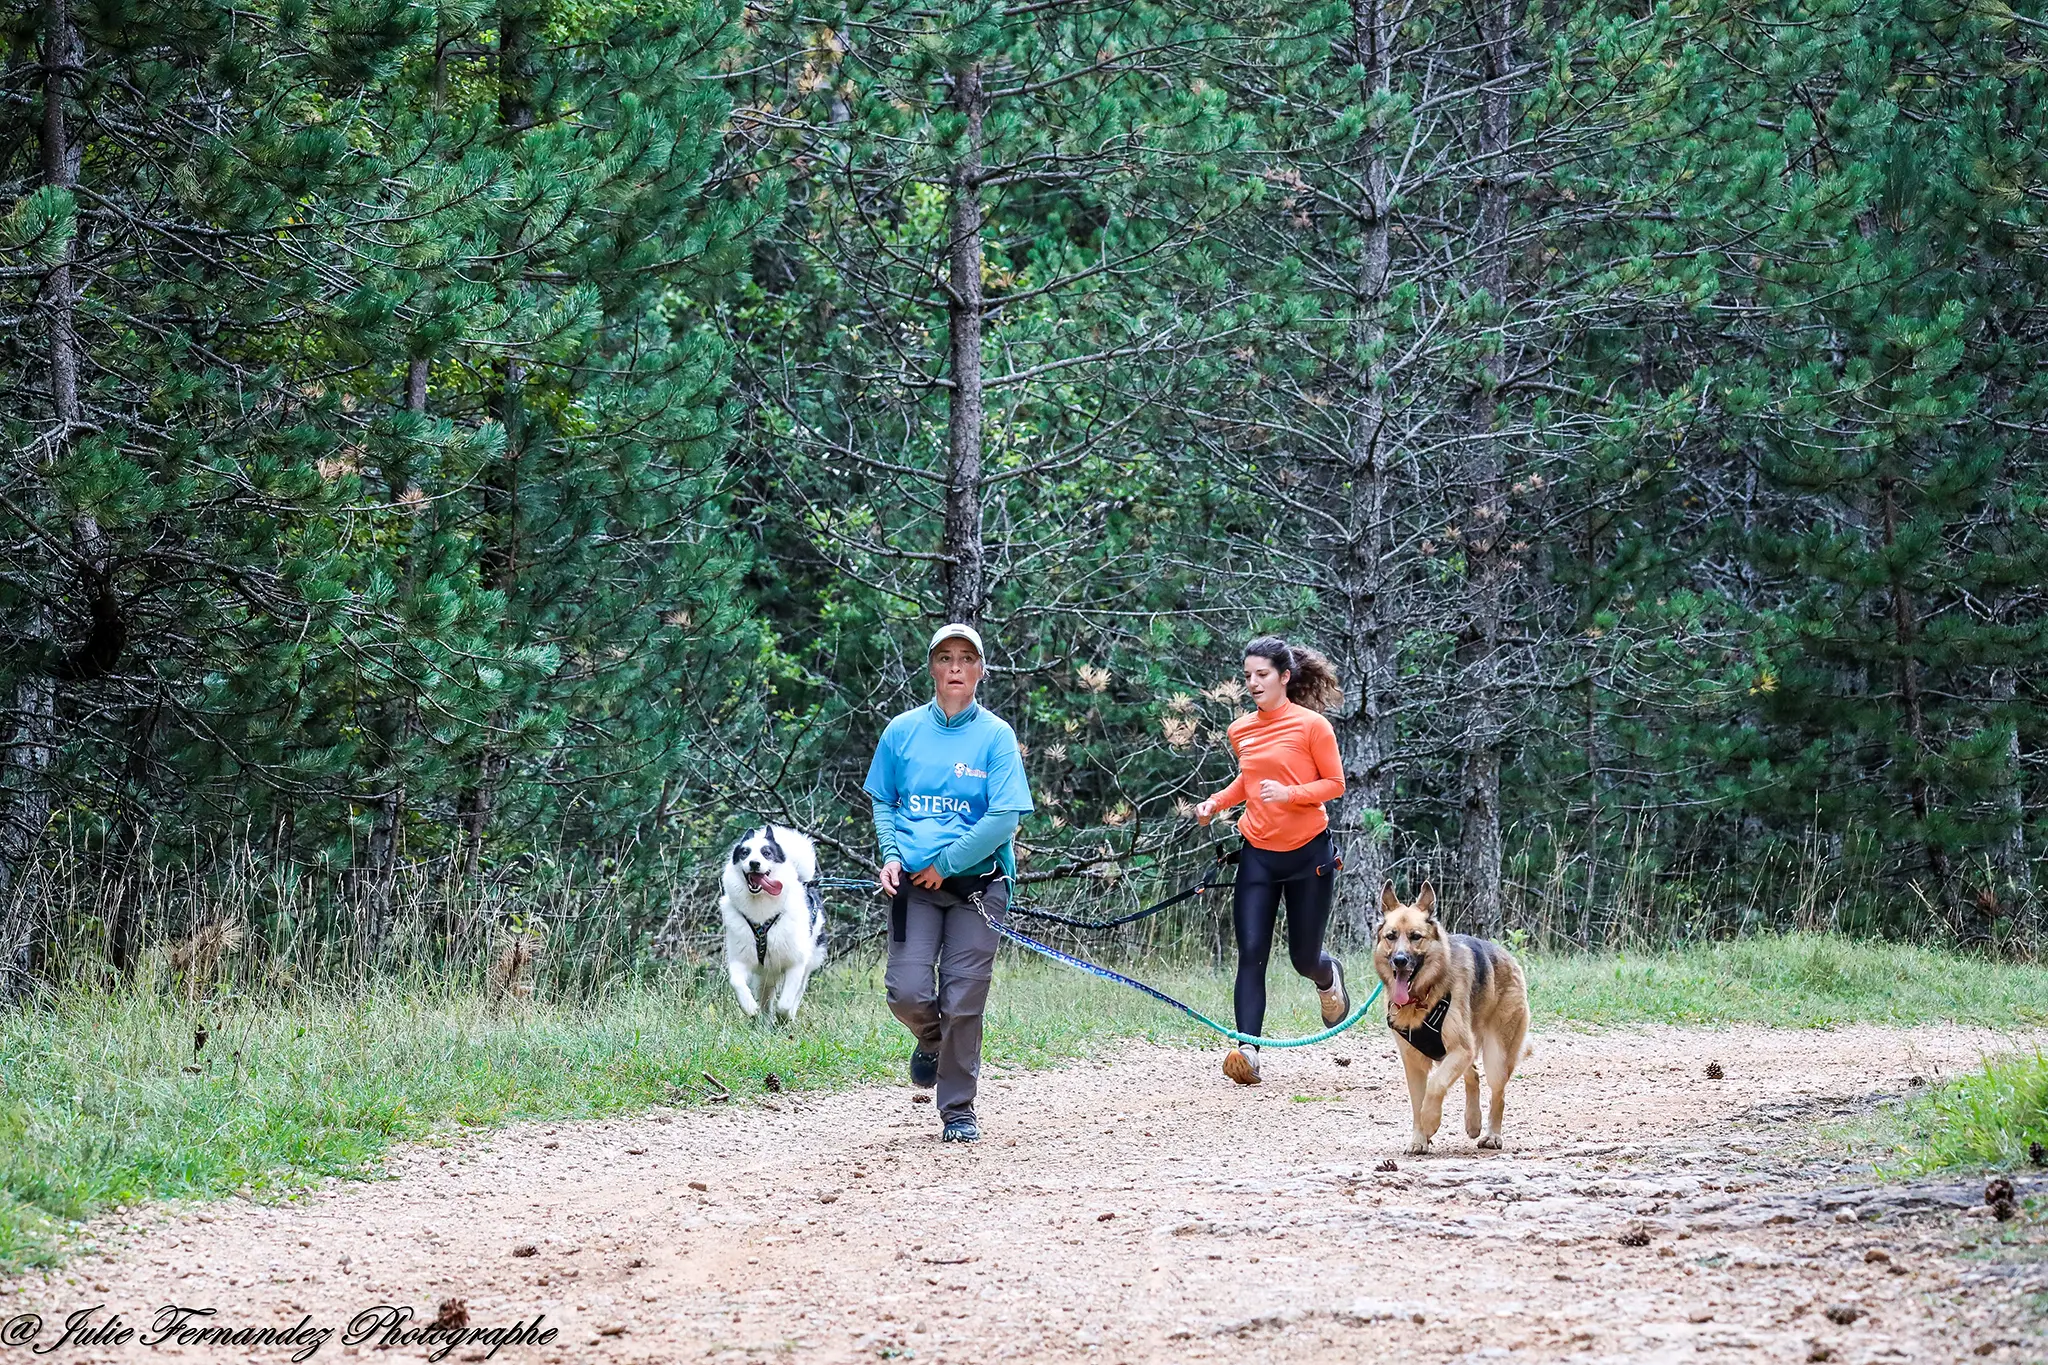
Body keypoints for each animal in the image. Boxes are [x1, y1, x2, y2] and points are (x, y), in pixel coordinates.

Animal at [716, 826, 819, 1019]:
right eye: (745, 852)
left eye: (767, 853)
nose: (754, 863)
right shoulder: (740, 959)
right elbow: (736, 981)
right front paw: (749, 1007)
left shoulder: (796, 963)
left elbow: (786, 1001)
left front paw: (784, 1016)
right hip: (765, 976)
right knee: (766, 999)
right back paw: (764, 1020)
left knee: (798, 990)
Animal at [1376, 888, 1523, 1154]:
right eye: (1391, 936)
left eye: (1415, 937)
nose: (1399, 960)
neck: (1422, 998)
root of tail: (1509, 957)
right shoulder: (1413, 1062)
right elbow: (1417, 1102)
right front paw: (1419, 1139)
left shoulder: (1460, 1049)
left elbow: (1435, 1086)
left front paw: (1430, 1121)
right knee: (1473, 1074)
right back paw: (1473, 1122)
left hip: (1496, 1058)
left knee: (1498, 1095)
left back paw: (1492, 1135)